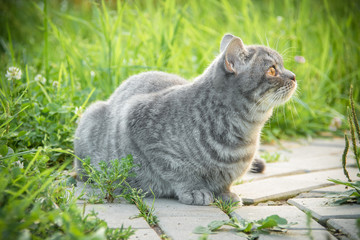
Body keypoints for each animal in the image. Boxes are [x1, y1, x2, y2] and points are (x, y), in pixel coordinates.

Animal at [74, 33, 296, 205]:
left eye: (283, 66)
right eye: (272, 70)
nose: (294, 76)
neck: (244, 133)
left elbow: (225, 181)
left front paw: (225, 193)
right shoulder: (138, 121)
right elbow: (178, 171)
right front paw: (195, 189)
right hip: (90, 118)